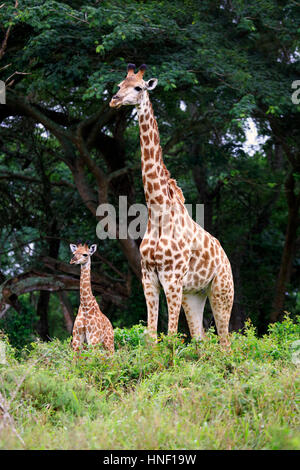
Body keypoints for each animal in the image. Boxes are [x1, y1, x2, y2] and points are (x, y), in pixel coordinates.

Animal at [110, 63, 234, 348]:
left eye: (138, 87)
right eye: (120, 84)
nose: (115, 100)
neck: (158, 211)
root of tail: (226, 259)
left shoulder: (172, 279)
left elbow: (170, 337)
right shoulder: (148, 278)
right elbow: (151, 337)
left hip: (222, 292)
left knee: (225, 343)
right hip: (195, 295)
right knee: (201, 340)